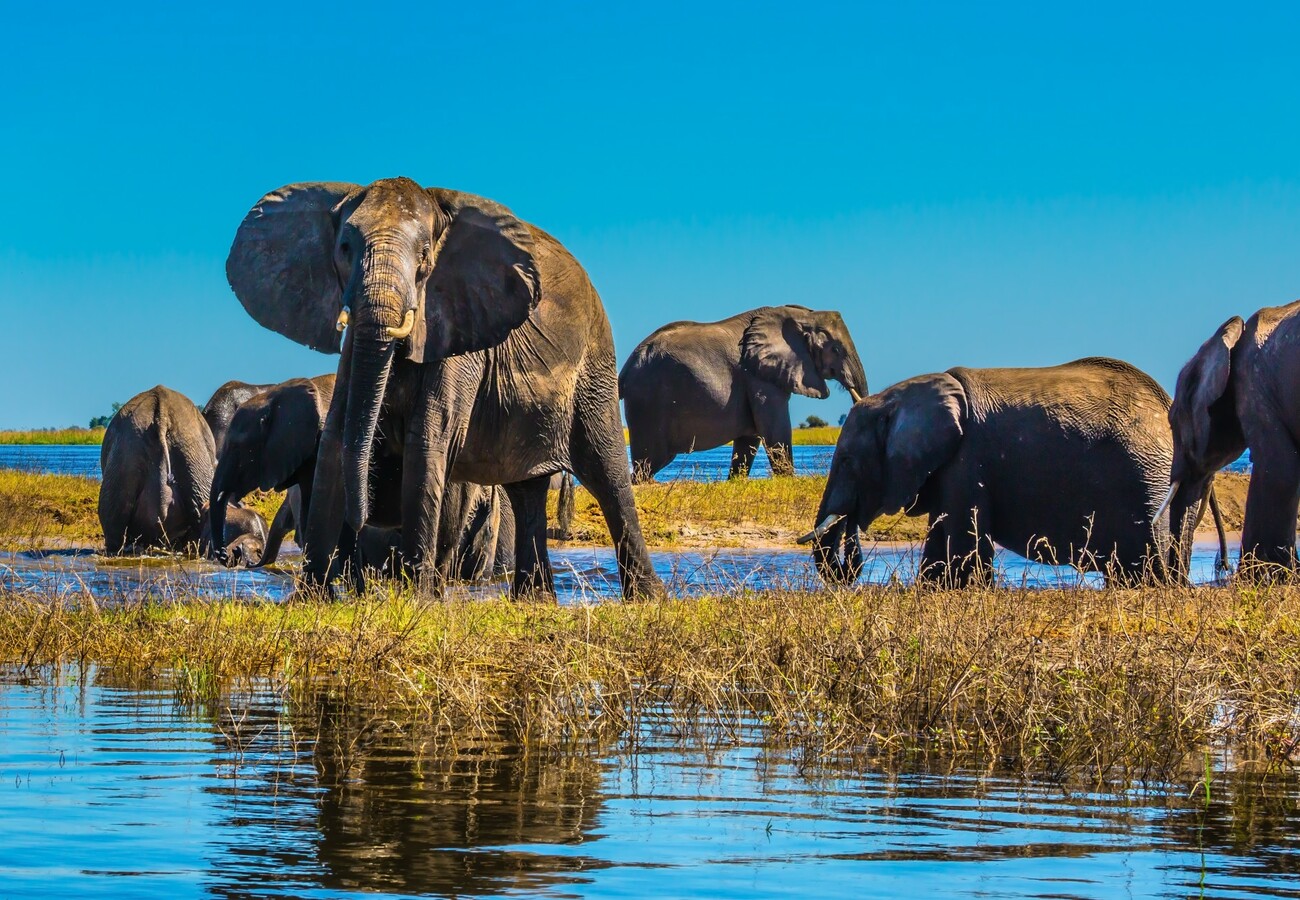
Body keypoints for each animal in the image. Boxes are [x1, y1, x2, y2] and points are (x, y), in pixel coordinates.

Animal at [223, 176, 660, 600]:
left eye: (424, 258)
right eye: (345, 248)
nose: (362, 520)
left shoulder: (459, 327)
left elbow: (427, 440)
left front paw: (419, 601)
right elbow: (335, 438)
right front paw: (311, 601)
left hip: (594, 363)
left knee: (607, 474)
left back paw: (647, 598)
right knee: (526, 490)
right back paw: (534, 600)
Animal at [616, 304, 863, 486]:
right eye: (836, 350)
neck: (803, 316)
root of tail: (626, 368)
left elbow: (750, 438)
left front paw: (736, 481)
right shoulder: (759, 377)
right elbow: (774, 428)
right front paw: (788, 480)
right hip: (648, 402)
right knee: (652, 460)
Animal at [795, 356, 1222, 587]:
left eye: (847, 461)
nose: (849, 553)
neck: (899, 397)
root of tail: (1166, 401)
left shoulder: (967, 460)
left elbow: (962, 550)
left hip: (1146, 479)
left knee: (1146, 568)